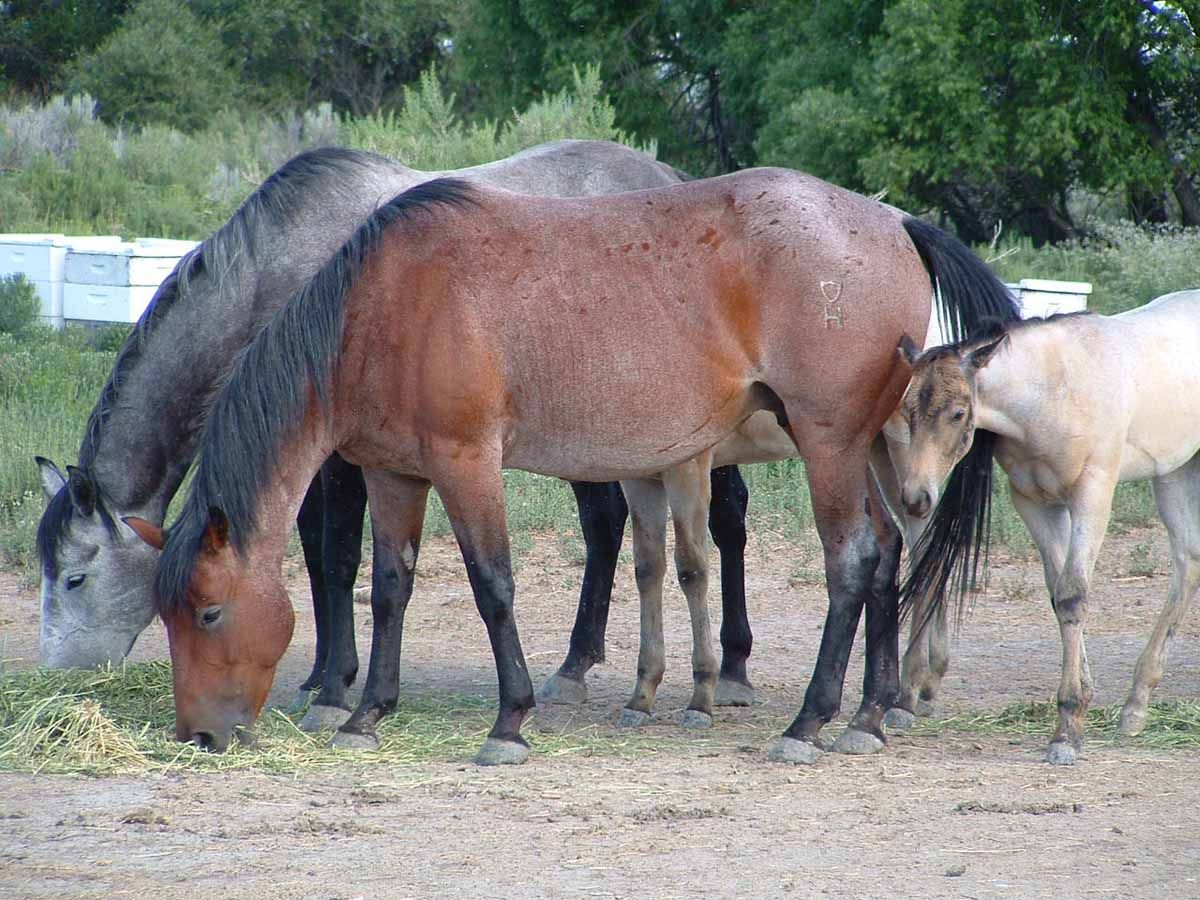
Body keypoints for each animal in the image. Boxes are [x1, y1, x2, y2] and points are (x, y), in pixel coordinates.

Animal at [35, 140, 768, 731]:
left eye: (74, 578)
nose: (57, 675)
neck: (286, 269)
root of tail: (666, 173)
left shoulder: (338, 460)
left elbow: (333, 557)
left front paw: (333, 686)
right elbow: (326, 557)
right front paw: (326, 675)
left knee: (724, 519)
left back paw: (730, 667)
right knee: (607, 524)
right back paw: (577, 665)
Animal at [127, 170, 1012, 765]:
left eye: (208, 613)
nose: (198, 734)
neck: (383, 307)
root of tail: (895, 220)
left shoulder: (467, 464)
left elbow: (492, 585)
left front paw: (509, 721)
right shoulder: (394, 475)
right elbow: (389, 588)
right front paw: (366, 713)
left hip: (827, 444)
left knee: (852, 560)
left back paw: (810, 721)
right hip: (860, 449)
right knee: (887, 554)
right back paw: (868, 716)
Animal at [897, 289, 1200, 765]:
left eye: (958, 413)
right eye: (908, 411)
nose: (915, 497)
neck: (1052, 392)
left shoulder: (1092, 496)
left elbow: (1074, 594)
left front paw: (1066, 732)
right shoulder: (1036, 505)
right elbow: (1060, 597)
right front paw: (1078, 708)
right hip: (1173, 471)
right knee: (1188, 562)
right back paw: (1135, 706)